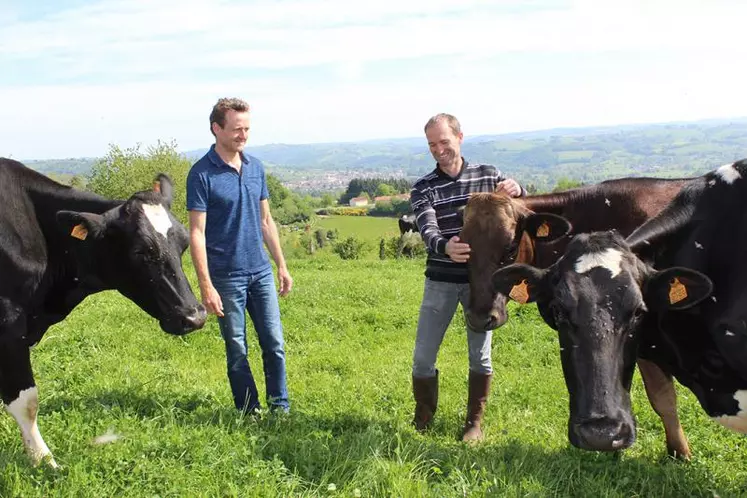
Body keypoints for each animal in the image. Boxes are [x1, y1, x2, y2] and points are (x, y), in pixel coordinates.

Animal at [0, 159, 206, 466]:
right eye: (142, 251)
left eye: (183, 244)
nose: (194, 316)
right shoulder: (10, 325)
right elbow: (27, 401)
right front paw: (44, 462)